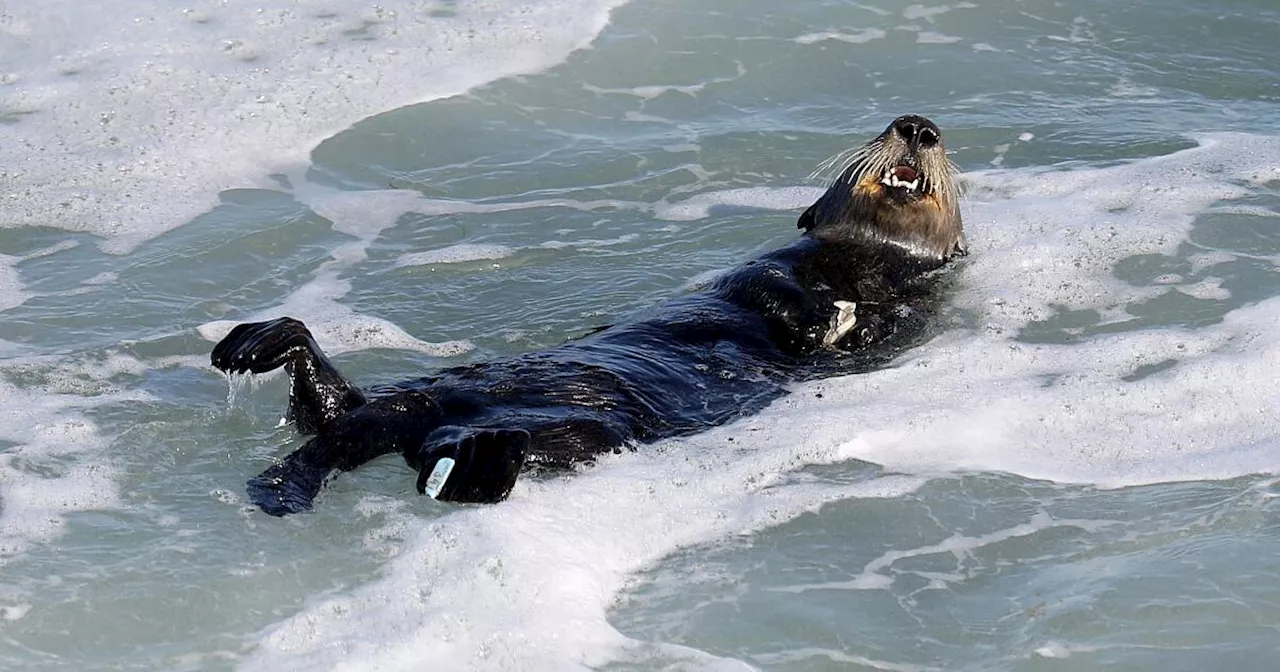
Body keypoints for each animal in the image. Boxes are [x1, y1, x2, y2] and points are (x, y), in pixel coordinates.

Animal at [215, 113, 962, 514]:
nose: (918, 127)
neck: (860, 266)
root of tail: (443, 412)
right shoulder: (775, 261)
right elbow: (762, 284)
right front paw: (812, 314)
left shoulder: (912, 310)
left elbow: (873, 335)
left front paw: (834, 323)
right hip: (445, 393)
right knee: (343, 413)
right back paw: (261, 344)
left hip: (586, 430)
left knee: (405, 443)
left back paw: (474, 461)